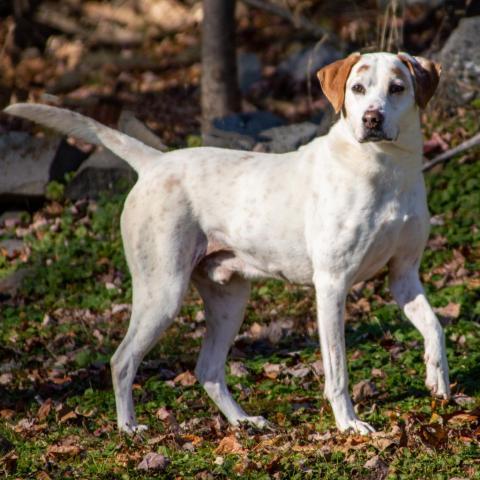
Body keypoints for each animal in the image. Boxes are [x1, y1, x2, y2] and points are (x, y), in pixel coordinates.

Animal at [4, 51, 450, 436]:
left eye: (397, 88)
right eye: (357, 88)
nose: (372, 119)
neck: (386, 167)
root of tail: (154, 162)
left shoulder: (404, 276)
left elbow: (435, 327)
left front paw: (438, 380)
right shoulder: (332, 285)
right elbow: (338, 370)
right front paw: (349, 424)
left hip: (229, 301)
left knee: (208, 370)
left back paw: (244, 421)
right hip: (162, 292)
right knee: (122, 360)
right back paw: (129, 428)